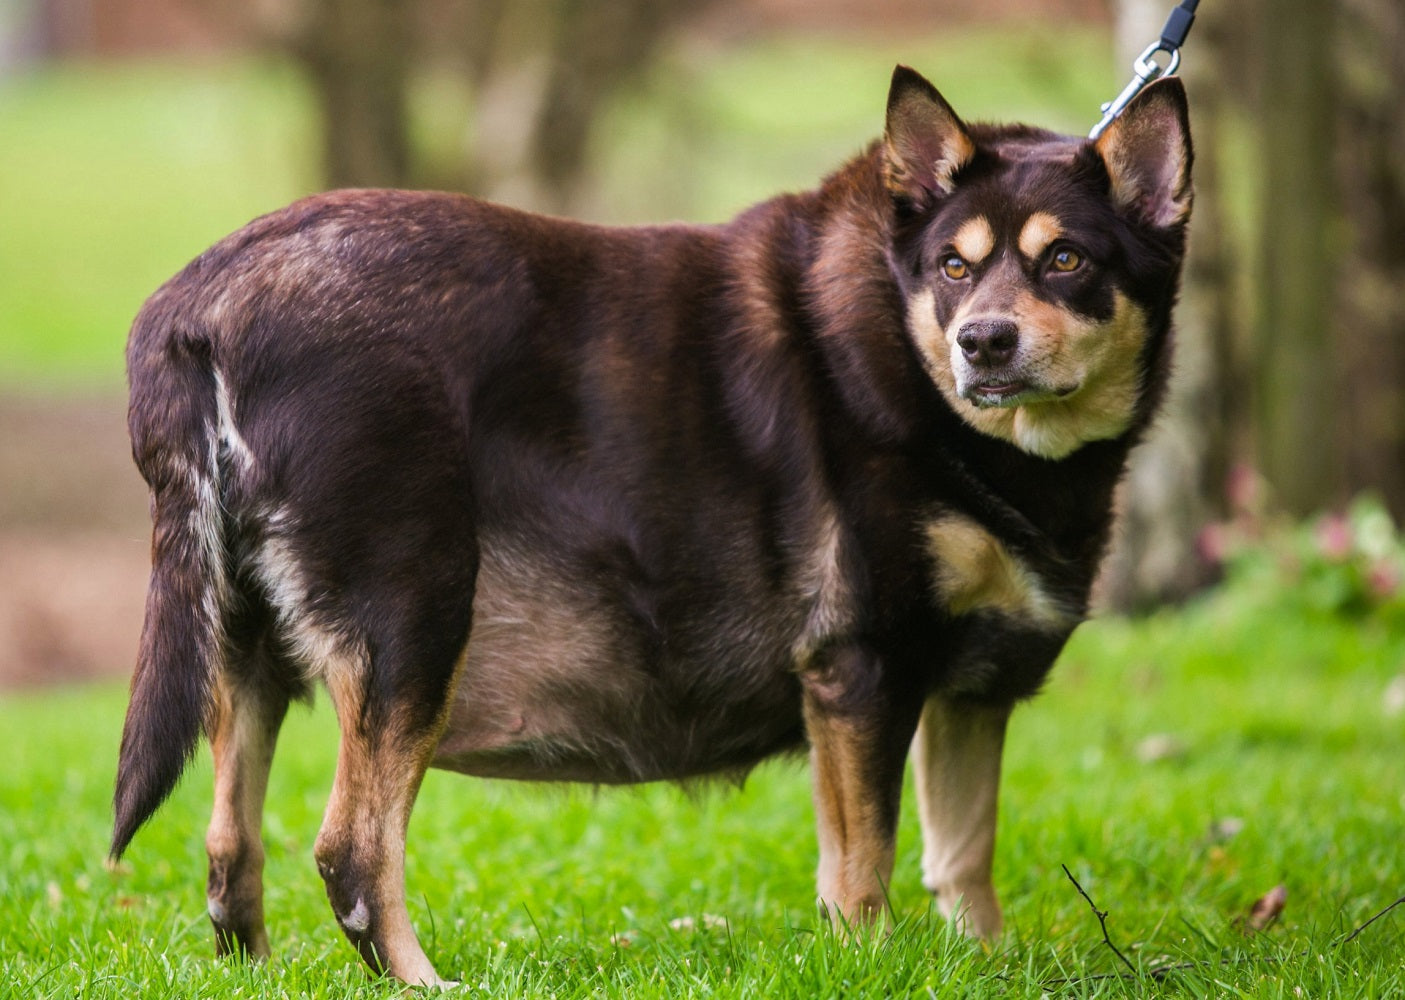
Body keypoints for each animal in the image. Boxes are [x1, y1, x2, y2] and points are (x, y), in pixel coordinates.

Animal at [109, 68, 1191, 983]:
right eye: (954, 269)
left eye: (1066, 259)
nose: (982, 342)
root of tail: (201, 303)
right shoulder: (859, 668)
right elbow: (863, 868)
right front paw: (874, 964)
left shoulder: (971, 693)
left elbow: (962, 857)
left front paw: (981, 962)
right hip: (413, 624)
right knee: (352, 851)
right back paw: (422, 979)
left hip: (243, 647)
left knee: (230, 845)